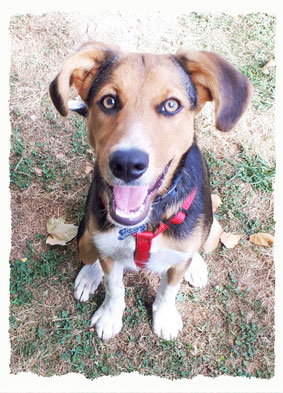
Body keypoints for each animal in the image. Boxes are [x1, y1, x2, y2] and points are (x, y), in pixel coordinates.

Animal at [48, 40, 253, 340]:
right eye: (108, 101)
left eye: (171, 105)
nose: (127, 164)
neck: (145, 222)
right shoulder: (107, 252)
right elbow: (114, 288)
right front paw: (110, 315)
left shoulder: (178, 262)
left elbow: (168, 290)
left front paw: (164, 317)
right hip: (85, 232)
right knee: (91, 252)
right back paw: (89, 275)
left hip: (211, 226)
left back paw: (196, 265)